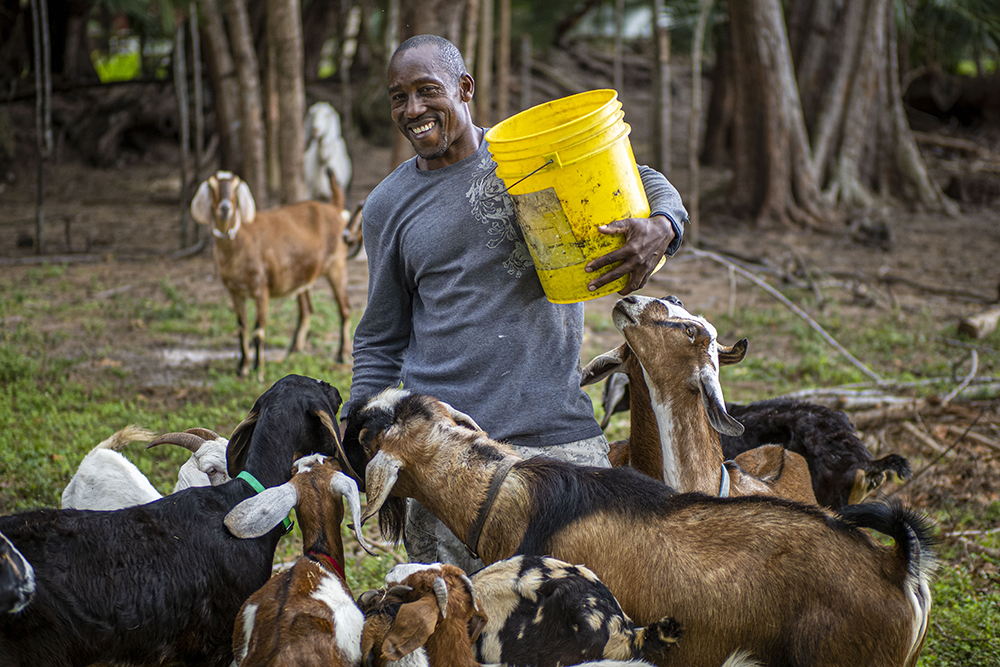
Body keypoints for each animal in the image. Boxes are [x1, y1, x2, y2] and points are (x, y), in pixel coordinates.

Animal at [191, 171, 352, 380]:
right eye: (211, 187)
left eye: (235, 187)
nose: (225, 208)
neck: (239, 243)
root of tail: (335, 208)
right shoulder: (234, 292)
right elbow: (242, 328)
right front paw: (242, 368)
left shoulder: (261, 289)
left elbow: (258, 331)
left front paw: (258, 370)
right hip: (302, 276)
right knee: (306, 311)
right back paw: (292, 353)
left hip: (336, 266)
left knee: (345, 309)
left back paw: (341, 355)